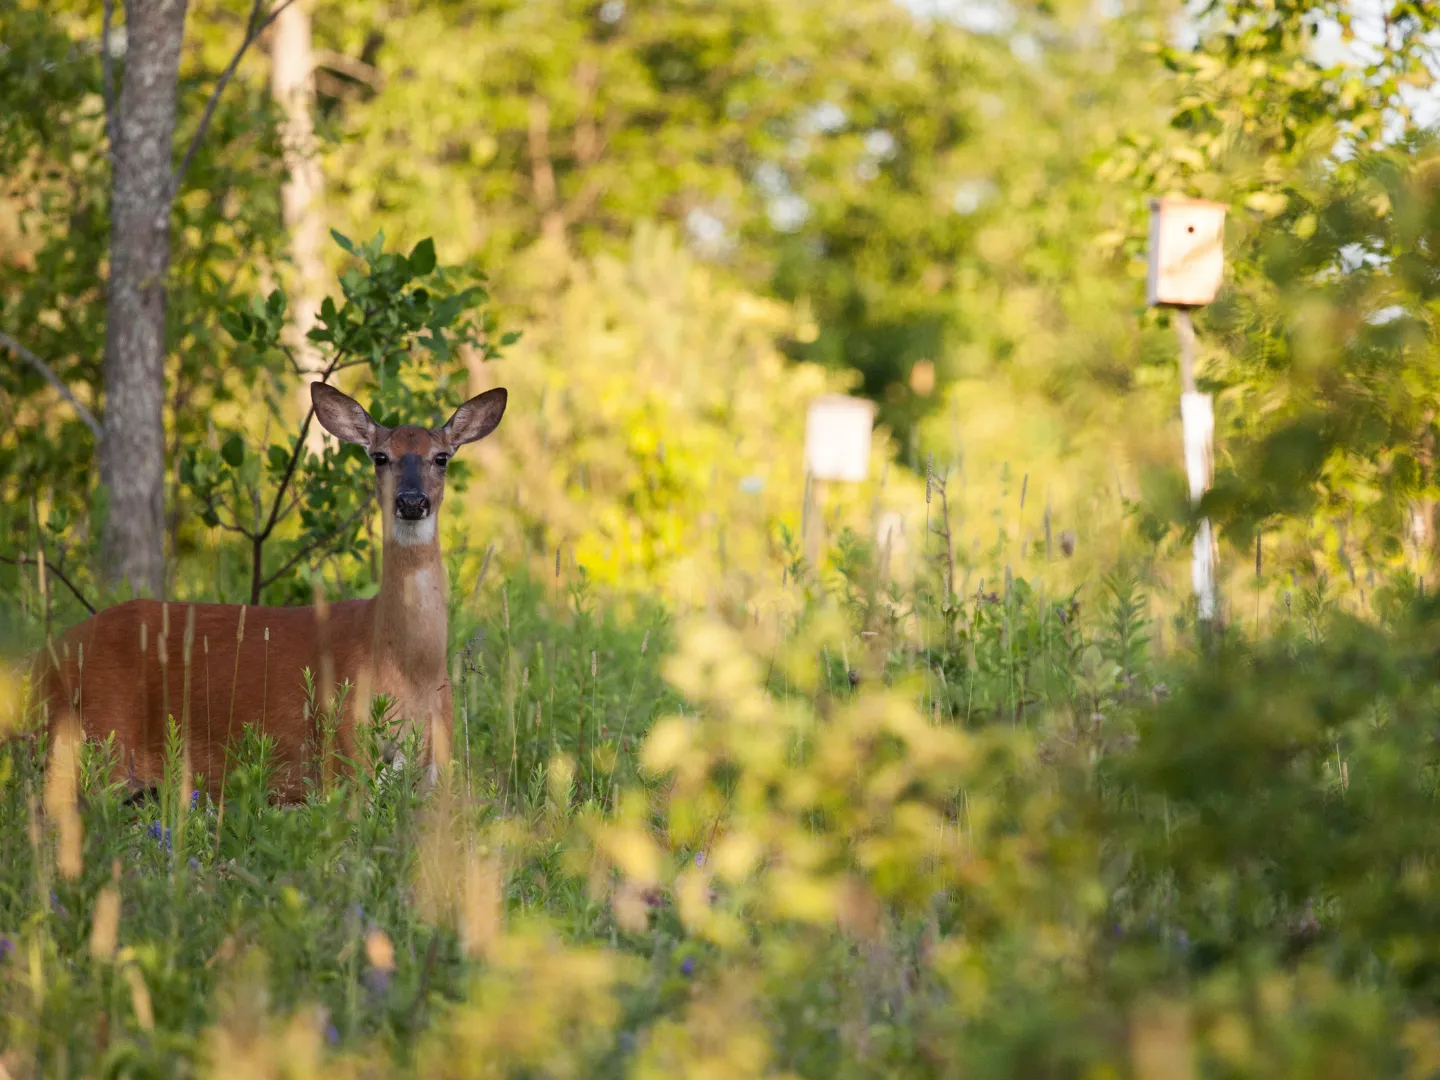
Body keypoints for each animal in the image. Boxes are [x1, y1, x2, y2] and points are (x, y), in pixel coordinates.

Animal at [32, 382, 507, 803]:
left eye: (441, 457)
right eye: (379, 457)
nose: (411, 501)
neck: (406, 667)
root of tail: (38, 666)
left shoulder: (434, 767)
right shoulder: (342, 750)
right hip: (94, 742)